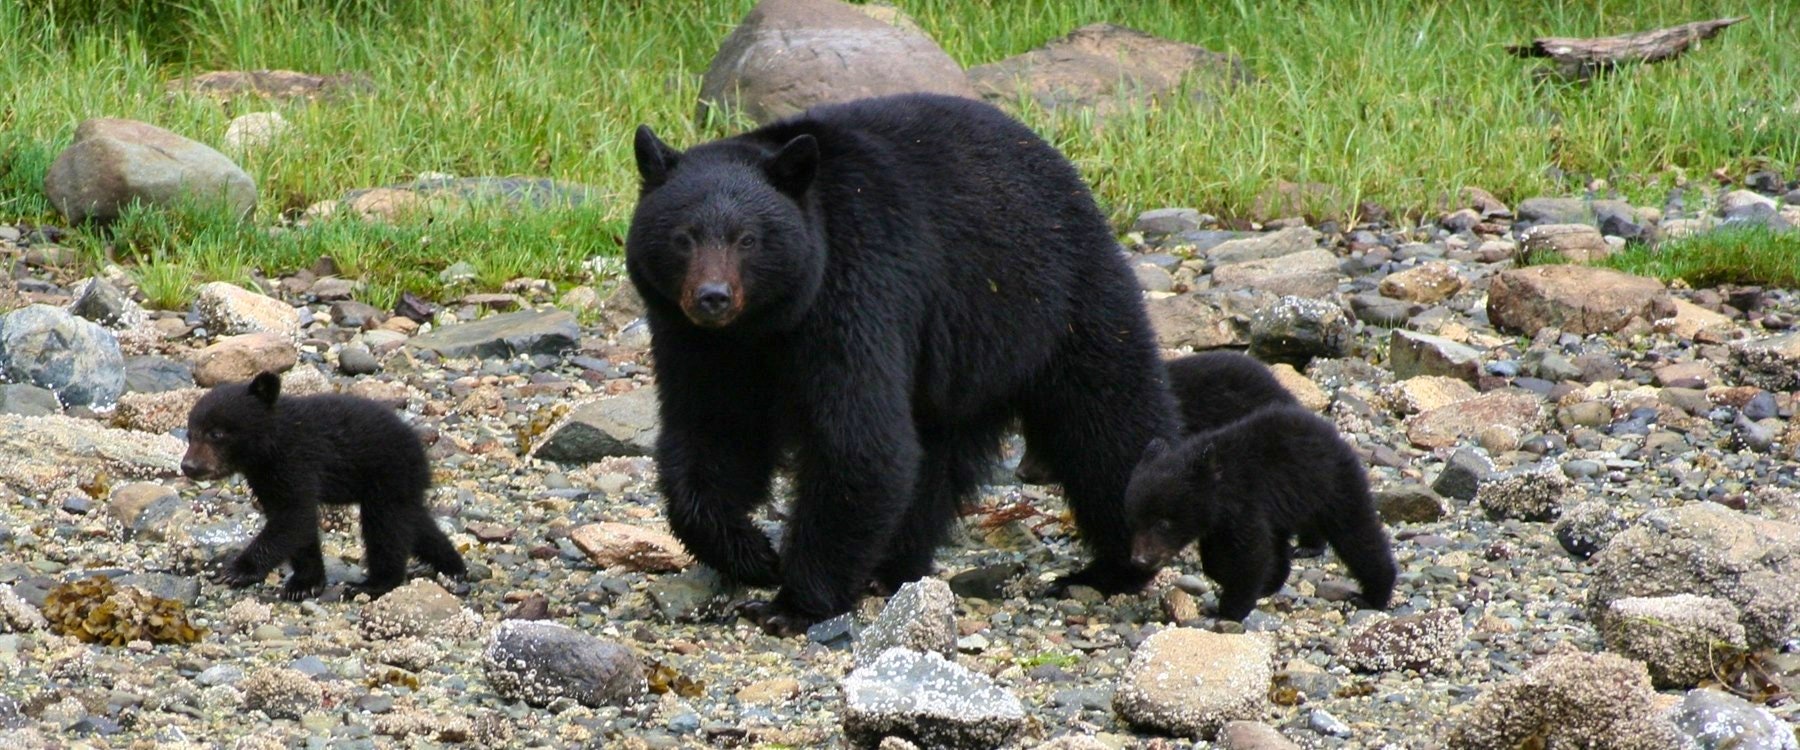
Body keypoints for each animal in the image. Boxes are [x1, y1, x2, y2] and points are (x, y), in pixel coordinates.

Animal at [181, 371, 465, 600]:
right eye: (190, 433)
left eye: (216, 433)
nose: (189, 466)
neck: (271, 445)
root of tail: (419, 449)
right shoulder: (265, 477)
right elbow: (298, 526)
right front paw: (305, 583)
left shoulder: (296, 461)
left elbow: (294, 517)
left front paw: (237, 570)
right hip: (401, 485)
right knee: (415, 523)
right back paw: (453, 566)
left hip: (388, 476)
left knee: (386, 528)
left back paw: (374, 584)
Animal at [627, 93, 1177, 635]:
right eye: (683, 237)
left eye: (747, 239)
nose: (712, 297)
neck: (763, 328)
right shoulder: (695, 342)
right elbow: (712, 432)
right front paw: (751, 554)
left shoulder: (857, 289)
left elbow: (859, 442)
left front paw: (791, 604)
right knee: (935, 459)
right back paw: (894, 565)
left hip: (1059, 301)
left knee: (1109, 428)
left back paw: (1112, 567)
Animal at [1124, 403, 1396, 621]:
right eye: (1134, 522)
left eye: (1163, 523)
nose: (1139, 560)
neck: (1220, 486)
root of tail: (1333, 433)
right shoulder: (1219, 521)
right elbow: (1216, 557)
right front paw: (1231, 578)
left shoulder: (1246, 503)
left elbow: (1252, 553)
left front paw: (1228, 610)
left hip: (1335, 485)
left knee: (1357, 535)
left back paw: (1373, 596)